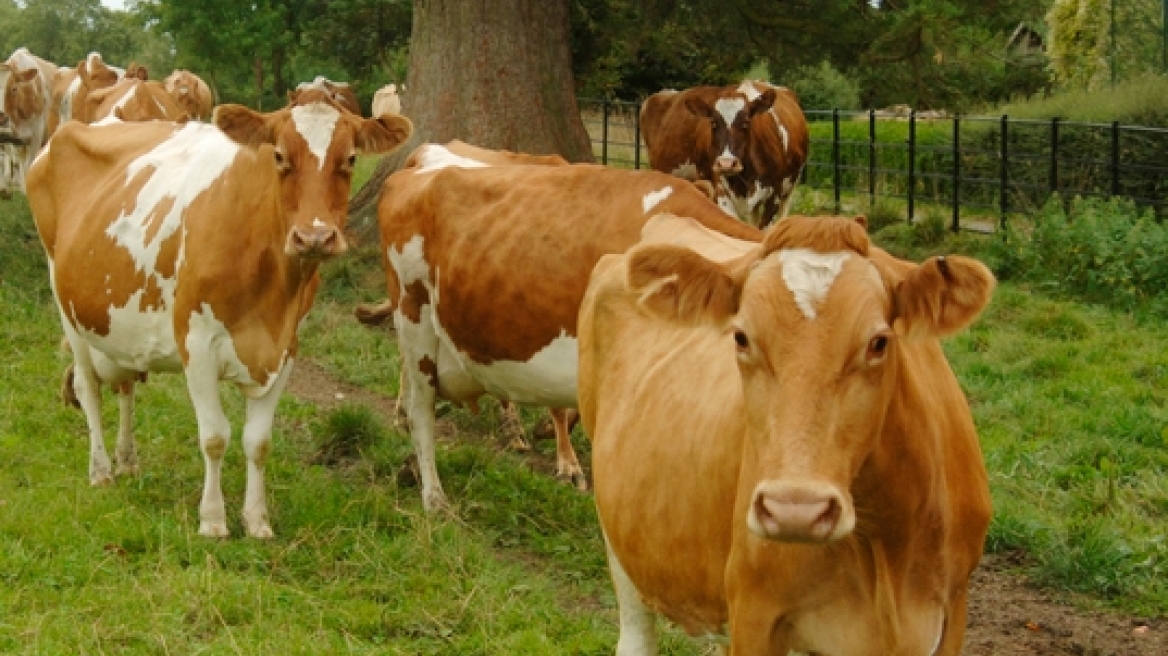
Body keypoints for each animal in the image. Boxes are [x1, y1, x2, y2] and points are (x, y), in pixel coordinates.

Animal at [0, 47, 57, 192]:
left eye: (14, 89)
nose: (1, 117)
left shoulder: (36, 136)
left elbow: (30, 166)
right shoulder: (14, 140)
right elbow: (18, 166)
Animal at [28, 98, 415, 536]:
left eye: (349, 159)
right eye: (278, 156)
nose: (314, 238)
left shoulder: (285, 348)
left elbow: (258, 442)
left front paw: (257, 521)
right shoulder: (196, 344)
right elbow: (214, 437)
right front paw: (213, 520)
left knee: (125, 384)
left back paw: (127, 460)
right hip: (66, 304)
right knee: (88, 387)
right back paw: (102, 470)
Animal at [579, 214, 990, 653]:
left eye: (879, 342)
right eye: (741, 337)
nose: (796, 510)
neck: (884, 541)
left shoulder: (953, 608)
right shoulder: (753, 614)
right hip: (617, 536)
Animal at [640, 80, 812, 228]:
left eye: (746, 123)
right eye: (713, 123)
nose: (726, 163)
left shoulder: (773, 198)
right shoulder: (720, 193)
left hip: (788, 191)